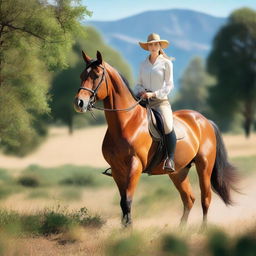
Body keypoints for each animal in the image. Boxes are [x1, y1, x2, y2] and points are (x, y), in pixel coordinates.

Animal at [74, 50, 238, 228]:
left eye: (96, 76)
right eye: (81, 75)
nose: (79, 102)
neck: (126, 122)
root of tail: (205, 121)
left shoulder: (135, 166)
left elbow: (127, 201)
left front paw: (129, 230)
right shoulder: (117, 169)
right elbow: (123, 202)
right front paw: (124, 228)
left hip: (204, 166)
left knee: (205, 198)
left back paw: (203, 229)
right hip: (179, 171)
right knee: (188, 198)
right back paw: (181, 229)